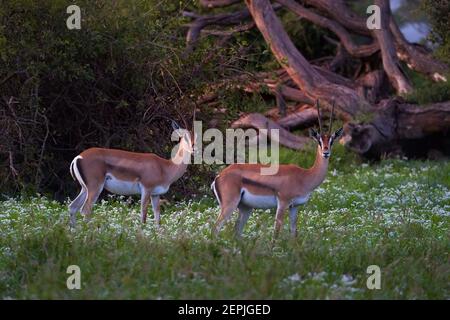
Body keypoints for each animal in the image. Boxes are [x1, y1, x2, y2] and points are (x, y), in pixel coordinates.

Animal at [211, 101, 342, 236]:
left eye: (332, 140)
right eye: (319, 140)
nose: (326, 152)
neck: (304, 176)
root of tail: (219, 176)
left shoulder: (294, 207)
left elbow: (293, 233)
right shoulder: (283, 203)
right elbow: (276, 233)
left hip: (245, 208)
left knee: (236, 232)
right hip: (230, 205)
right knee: (215, 229)